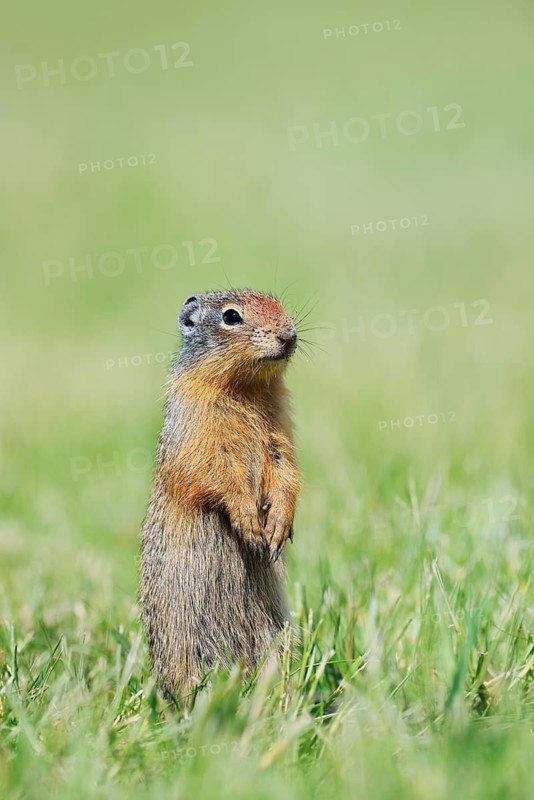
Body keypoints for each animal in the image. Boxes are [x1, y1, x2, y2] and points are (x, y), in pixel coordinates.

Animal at [140, 289, 301, 700]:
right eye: (231, 317)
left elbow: (286, 471)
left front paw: (278, 524)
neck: (246, 389)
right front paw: (249, 523)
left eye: (280, 304)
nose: (289, 336)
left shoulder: (281, 434)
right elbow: (214, 474)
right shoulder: (197, 427)